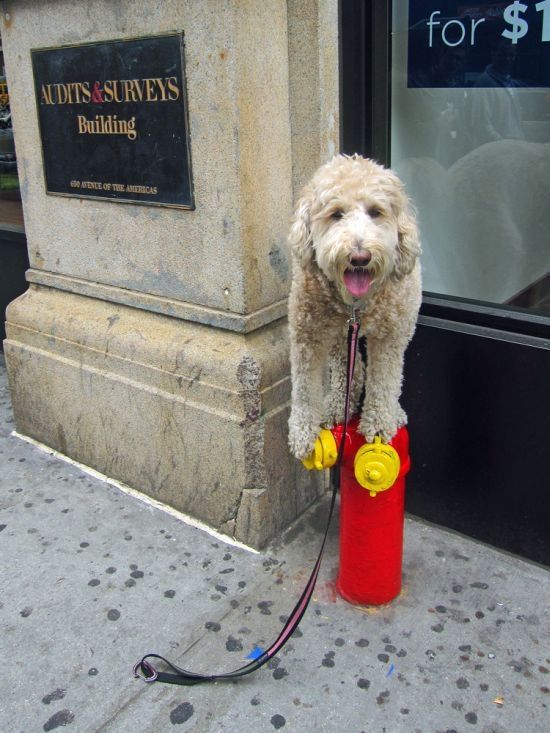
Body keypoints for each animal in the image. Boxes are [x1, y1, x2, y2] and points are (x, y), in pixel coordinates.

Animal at [288, 154, 422, 458]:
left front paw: (379, 423)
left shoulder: (389, 338)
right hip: (338, 334)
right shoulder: (307, 335)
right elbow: (304, 388)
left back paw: (394, 413)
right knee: (348, 369)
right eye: (336, 214)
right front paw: (302, 432)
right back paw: (338, 405)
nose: (360, 257)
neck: (356, 305)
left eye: (375, 212)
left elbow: (384, 381)